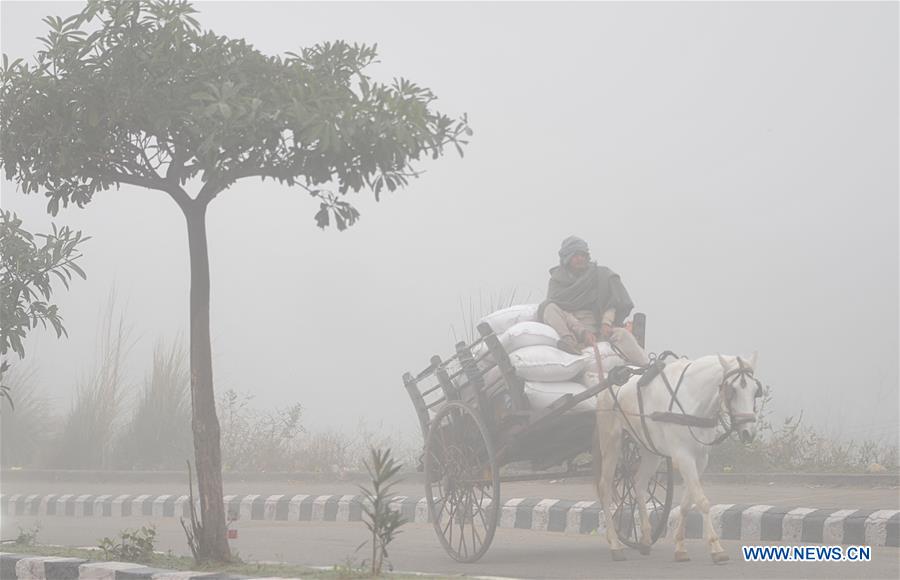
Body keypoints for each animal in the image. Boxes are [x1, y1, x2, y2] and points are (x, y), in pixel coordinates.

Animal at [596, 352, 764, 564]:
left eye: (755, 390)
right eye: (732, 390)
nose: (748, 432)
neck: (693, 399)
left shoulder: (701, 459)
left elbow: (686, 503)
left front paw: (680, 547)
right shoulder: (683, 456)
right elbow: (701, 500)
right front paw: (716, 547)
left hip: (649, 449)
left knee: (639, 483)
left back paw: (645, 539)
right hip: (611, 442)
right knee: (605, 487)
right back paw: (615, 545)